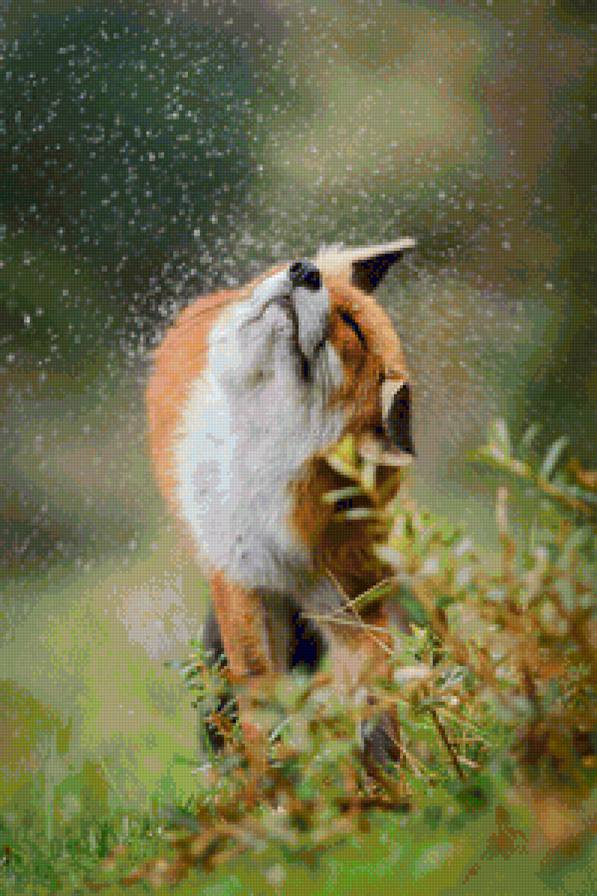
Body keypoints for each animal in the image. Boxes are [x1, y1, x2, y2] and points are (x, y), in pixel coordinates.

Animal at [146, 239, 416, 767]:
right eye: (325, 288)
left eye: (353, 327)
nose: (305, 271)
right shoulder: (238, 572)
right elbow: (258, 694)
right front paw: (270, 776)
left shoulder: (345, 598)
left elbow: (374, 708)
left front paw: (390, 779)